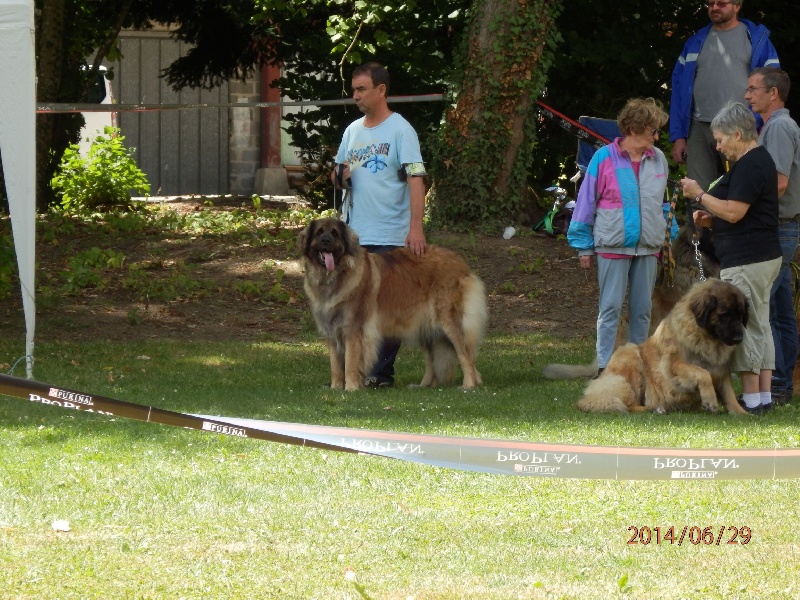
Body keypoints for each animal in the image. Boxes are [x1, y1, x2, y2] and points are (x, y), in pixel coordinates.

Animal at [298, 218, 488, 391]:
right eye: (319, 233)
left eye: (335, 234)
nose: (326, 241)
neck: (334, 275)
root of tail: (460, 263)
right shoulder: (331, 329)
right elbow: (336, 365)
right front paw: (336, 388)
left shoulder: (353, 329)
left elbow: (350, 362)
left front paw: (351, 388)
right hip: (425, 326)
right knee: (431, 359)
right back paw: (424, 385)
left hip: (449, 322)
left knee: (465, 354)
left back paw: (468, 385)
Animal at [575, 279, 749, 414]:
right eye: (724, 314)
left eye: (740, 314)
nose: (739, 338)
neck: (706, 337)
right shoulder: (675, 365)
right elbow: (703, 373)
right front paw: (710, 400)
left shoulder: (721, 370)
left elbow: (729, 393)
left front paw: (741, 413)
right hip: (631, 357)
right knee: (631, 405)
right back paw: (655, 408)